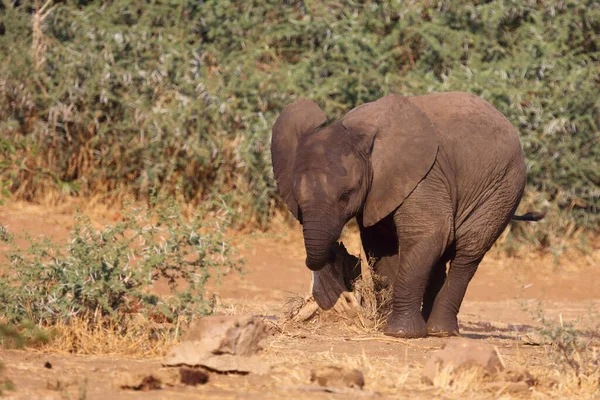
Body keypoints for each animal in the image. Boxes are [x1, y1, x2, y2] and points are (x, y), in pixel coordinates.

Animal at [272, 90, 544, 338]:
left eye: (346, 196)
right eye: (296, 198)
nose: (336, 252)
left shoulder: (425, 178)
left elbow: (427, 235)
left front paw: (400, 333)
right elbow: (382, 245)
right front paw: (386, 325)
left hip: (502, 188)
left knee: (468, 254)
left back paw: (440, 332)